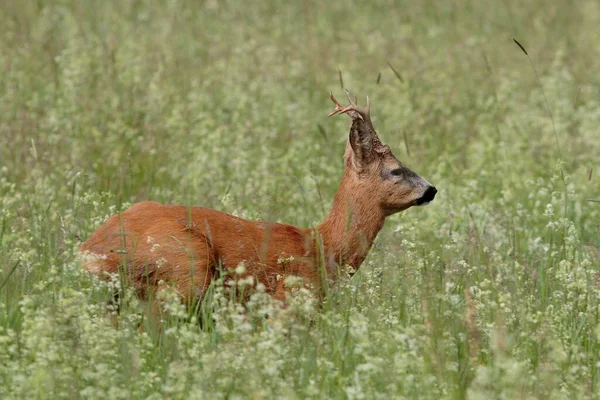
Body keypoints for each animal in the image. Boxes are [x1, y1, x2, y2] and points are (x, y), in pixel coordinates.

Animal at [79, 91, 436, 304]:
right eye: (395, 170)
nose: (431, 189)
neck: (323, 246)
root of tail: (89, 252)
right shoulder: (288, 301)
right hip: (186, 268)